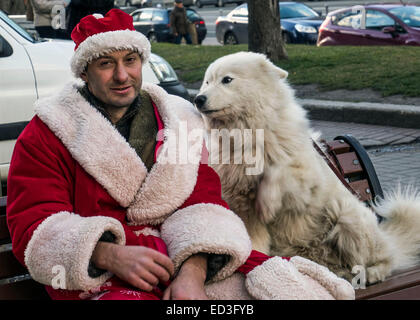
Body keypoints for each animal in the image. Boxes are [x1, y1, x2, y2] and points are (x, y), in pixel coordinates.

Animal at [195, 50, 420, 282]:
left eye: (227, 80)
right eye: (207, 82)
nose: (198, 99)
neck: (246, 135)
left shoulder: (305, 185)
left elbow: (277, 172)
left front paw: (267, 201)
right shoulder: (243, 207)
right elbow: (254, 240)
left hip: (347, 217)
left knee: (383, 258)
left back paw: (371, 273)